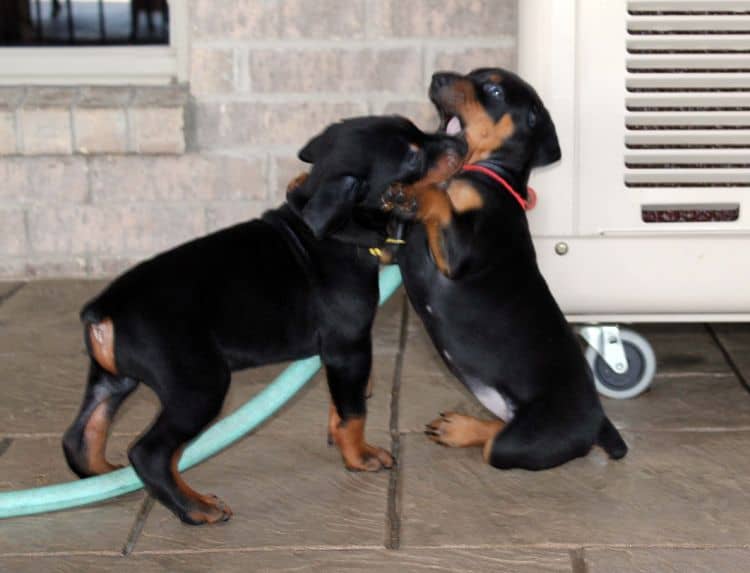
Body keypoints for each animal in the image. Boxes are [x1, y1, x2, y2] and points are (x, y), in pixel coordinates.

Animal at [394, 68, 628, 470]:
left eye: (493, 89)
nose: (437, 77)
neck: (484, 169)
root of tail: (600, 423)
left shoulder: (460, 253)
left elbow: (440, 198)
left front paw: (422, 192)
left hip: (527, 439)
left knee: (495, 442)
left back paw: (462, 429)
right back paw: (455, 426)